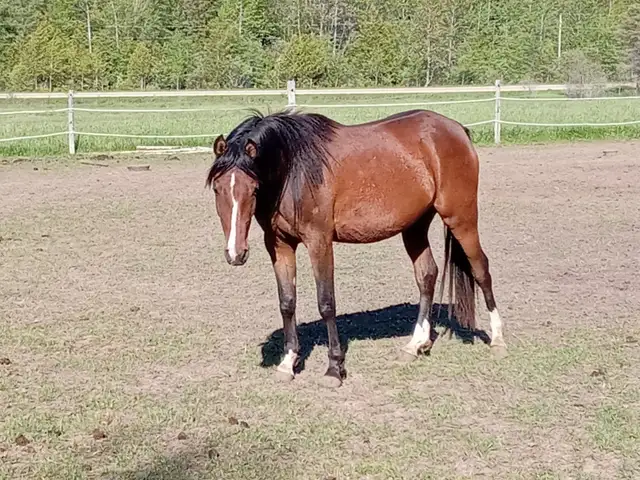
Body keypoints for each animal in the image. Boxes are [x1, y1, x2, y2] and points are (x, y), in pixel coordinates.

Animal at [206, 108, 506, 388]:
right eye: (218, 189)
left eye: (254, 189)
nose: (235, 253)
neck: (293, 169)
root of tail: (457, 129)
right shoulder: (279, 244)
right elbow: (287, 302)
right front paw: (287, 363)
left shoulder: (319, 241)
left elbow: (326, 303)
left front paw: (334, 369)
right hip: (415, 226)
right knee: (427, 275)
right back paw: (415, 344)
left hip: (461, 218)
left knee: (481, 270)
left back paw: (498, 340)